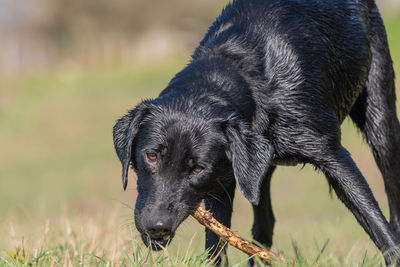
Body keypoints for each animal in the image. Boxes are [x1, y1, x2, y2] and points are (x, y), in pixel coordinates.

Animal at [111, 0, 400, 264]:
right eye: (152, 156)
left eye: (197, 169)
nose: (157, 226)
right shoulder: (223, 181)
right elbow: (216, 246)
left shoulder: (332, 154)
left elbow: (378, 226)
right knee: (263, 225)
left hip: (380, 116)